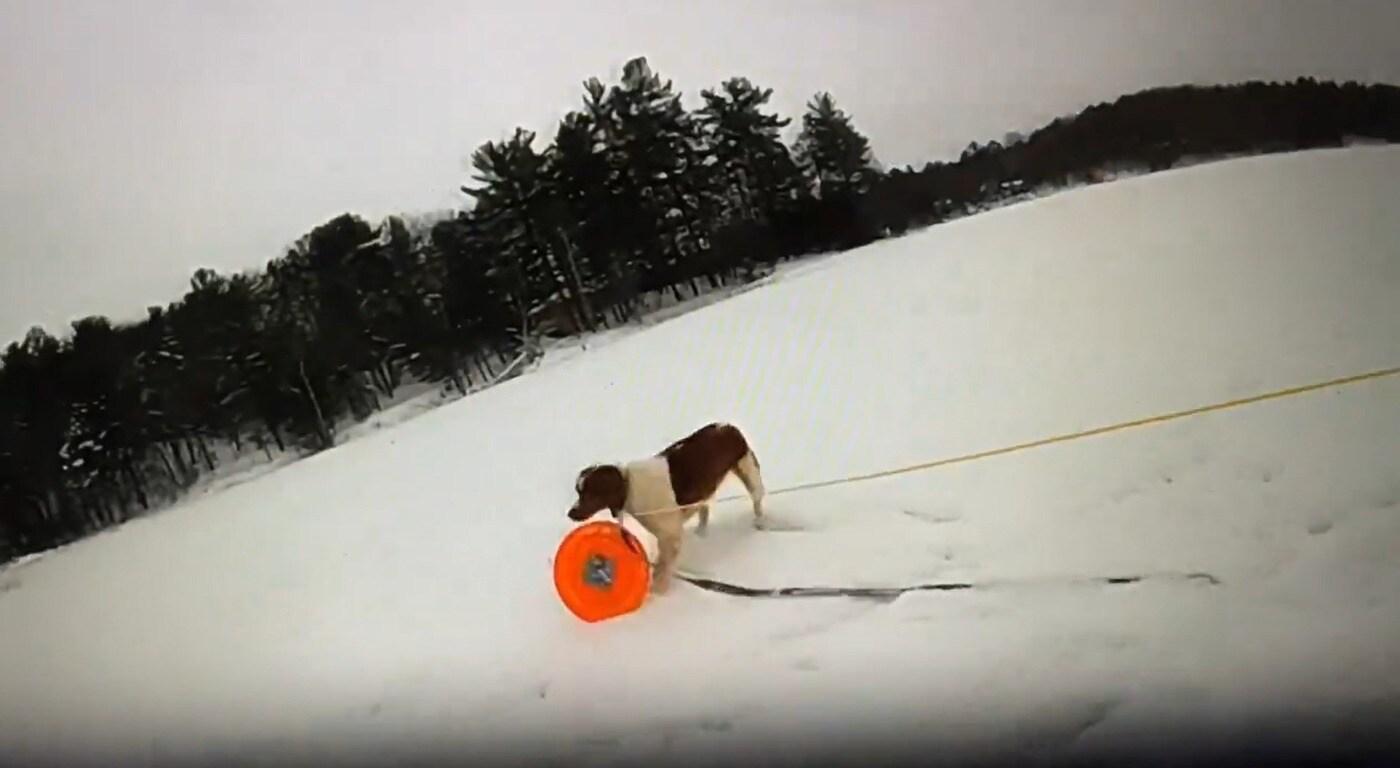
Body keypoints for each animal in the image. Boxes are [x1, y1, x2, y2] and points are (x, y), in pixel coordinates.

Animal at [565, 419, 767, 593]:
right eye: (578, 491)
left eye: (590, 493)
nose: (570, 513)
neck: (629, 485)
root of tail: (727, 425)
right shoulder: (665, 537)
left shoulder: (671, 537)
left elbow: (663, 569)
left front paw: (657, 592)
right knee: (704, 509)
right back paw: (701, 533)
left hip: (750, 474)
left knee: (757, 502)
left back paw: (760, 524)